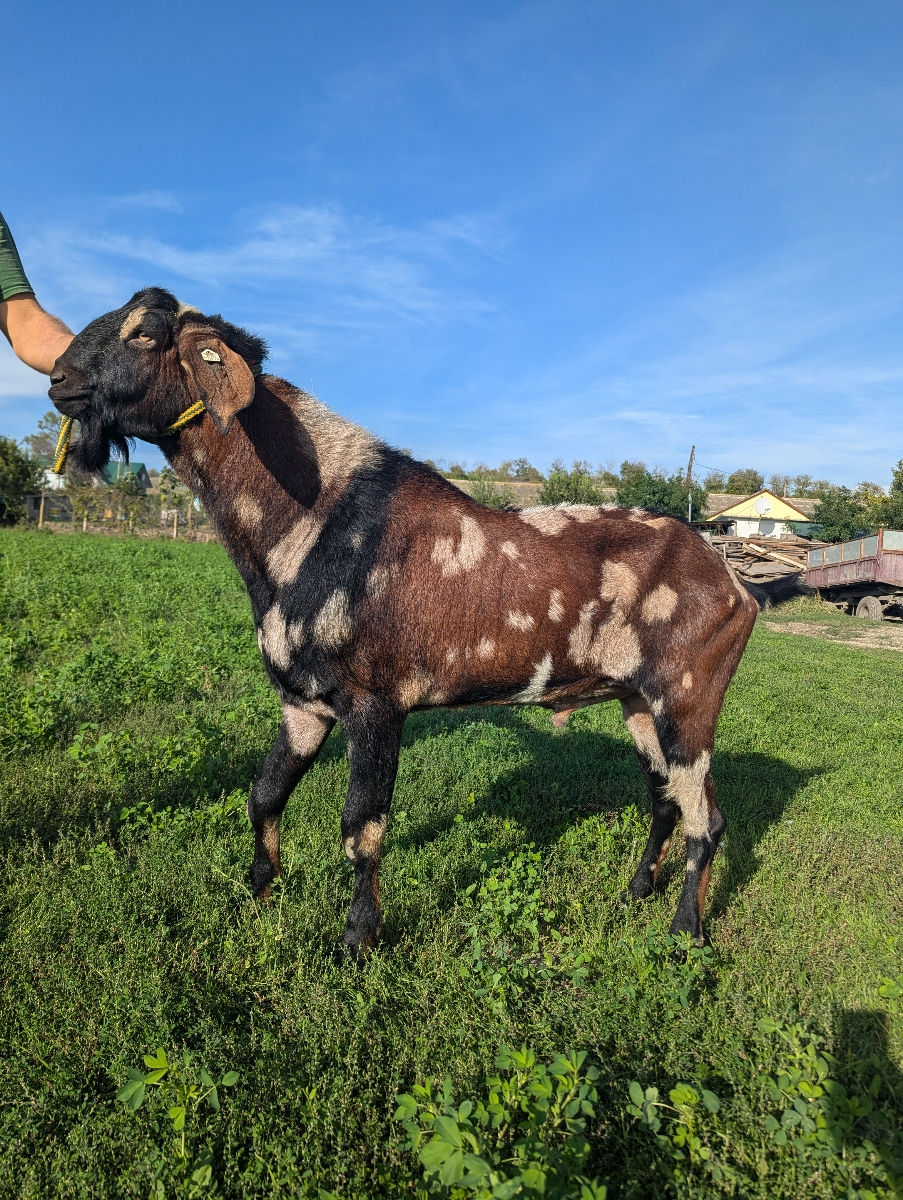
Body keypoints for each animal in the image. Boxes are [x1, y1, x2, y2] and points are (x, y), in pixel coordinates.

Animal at [47, 288, 754, 955]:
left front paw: (358, 938)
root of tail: (737, 585)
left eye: (144, 333)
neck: (316, 518)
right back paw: (637, 890)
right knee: (665, 798)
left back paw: (686, 930)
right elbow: (264, 794)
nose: (58, 378)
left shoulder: (376, 704)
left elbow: (362, 828)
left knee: (707, 818)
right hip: (637, 701)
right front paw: (260, 889)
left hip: (688, 700)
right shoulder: (304, 704)